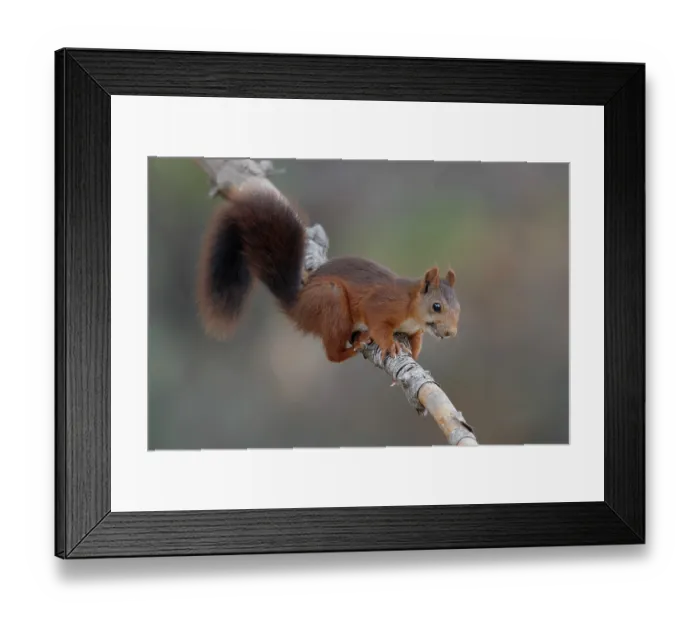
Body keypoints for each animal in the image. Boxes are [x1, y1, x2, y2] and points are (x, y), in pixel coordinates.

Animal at [196, 181, 461, 363]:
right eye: (437, 306)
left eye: (459, 309)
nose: (451, 333)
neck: (411, 307)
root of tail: (297, 307)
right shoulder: (381, 304)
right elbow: (379, 324)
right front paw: (391, 345)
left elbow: (417, 339)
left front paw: (414, 351)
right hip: (331, 302)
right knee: (332, 355)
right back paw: (355, 346)